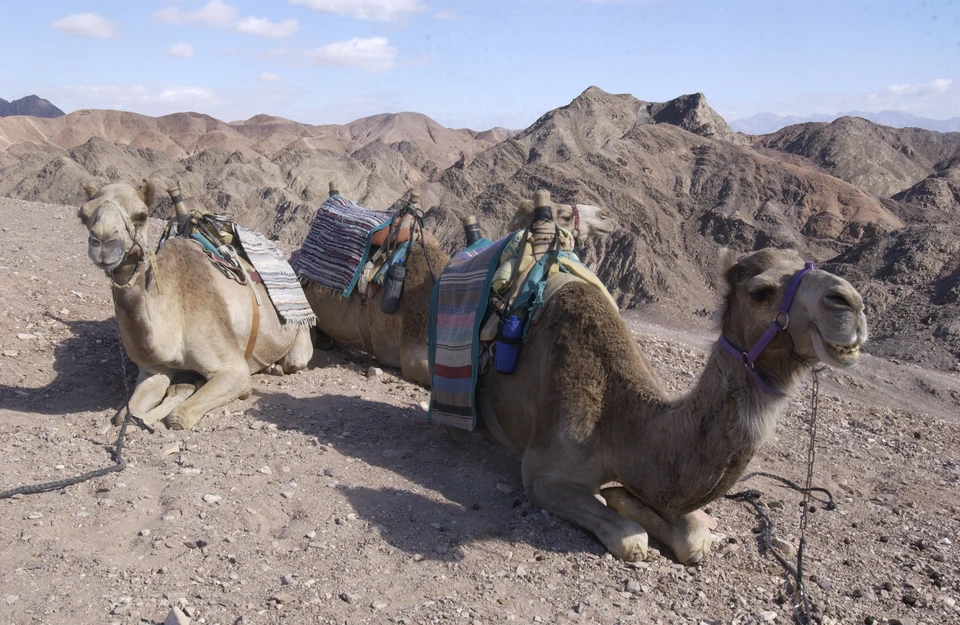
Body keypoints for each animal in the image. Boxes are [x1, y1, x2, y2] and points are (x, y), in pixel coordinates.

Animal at [79, 180, 312, 428]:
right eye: (83, 215)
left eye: (141, 215)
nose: (103, 242)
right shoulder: (152, 371)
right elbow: (126, 414)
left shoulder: (233, 368)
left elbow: (178, 417)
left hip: (299, 335)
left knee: (294, 360)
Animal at [480, 246, 872, 564]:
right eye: (761, 292)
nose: (849, 302)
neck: (616, 415)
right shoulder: (541, 473)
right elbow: (632, 540)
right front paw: (619, 505)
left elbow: (695, 538)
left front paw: (621, 495)